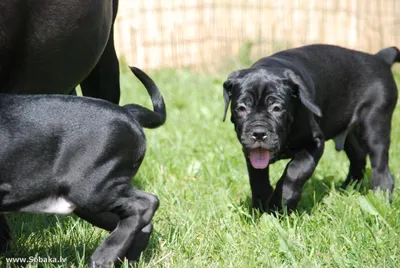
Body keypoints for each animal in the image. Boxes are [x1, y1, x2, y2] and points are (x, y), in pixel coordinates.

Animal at [0, 67, 166, 268]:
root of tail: (127, 112)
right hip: (87, 199)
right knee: (139, 220)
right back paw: (127, 258)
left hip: (91, 189)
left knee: (145, 204)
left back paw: (102, 257)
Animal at [223, 45, 398, 213]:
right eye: (241, 108)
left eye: (277, 108)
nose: (258, 133)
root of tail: (379, 58)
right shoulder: (251, 153)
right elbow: (257, 178)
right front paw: (260, 206)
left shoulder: (315, 143)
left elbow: (295, 171)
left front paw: (280, 203)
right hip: (350, 133)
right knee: (358, 158)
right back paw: (346, 190)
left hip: (375, 123)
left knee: (380, 167)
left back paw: (380, 199)